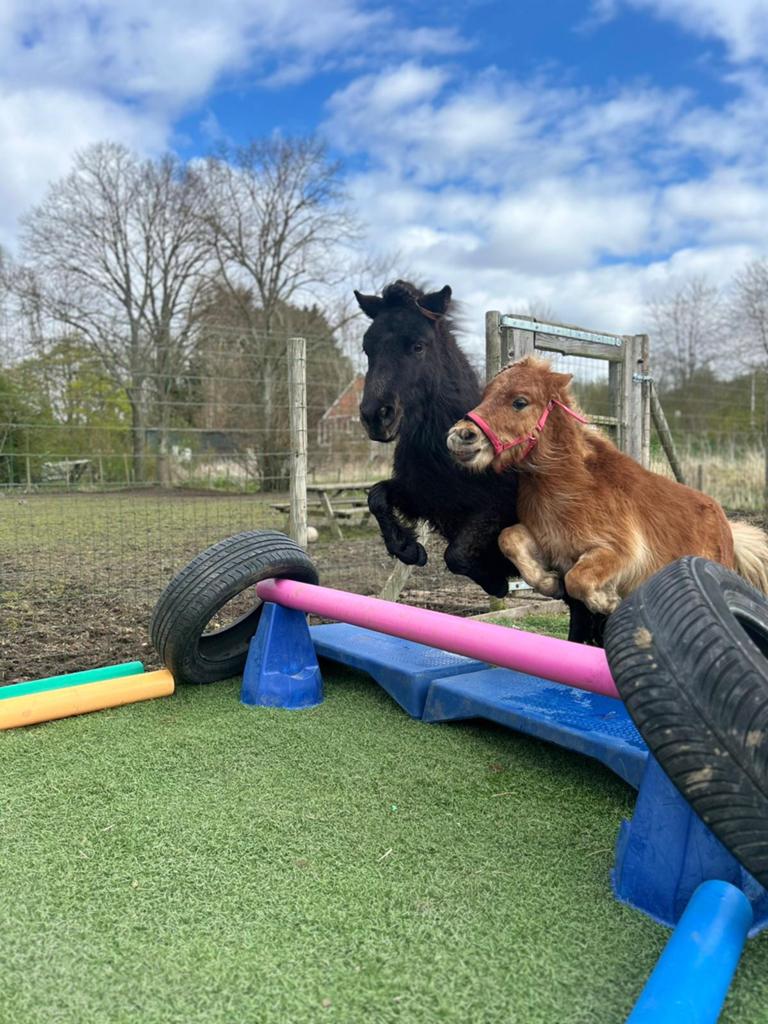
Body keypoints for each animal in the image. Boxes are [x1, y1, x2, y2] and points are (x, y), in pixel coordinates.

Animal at [354, 280, 603, 644]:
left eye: (418, 346)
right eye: (367, 348)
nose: (376, 417)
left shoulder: (493, 511)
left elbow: (457, 554)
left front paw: (495, 580)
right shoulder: (424, 498)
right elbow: (378, 497)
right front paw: (407, 548)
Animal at [447, 354, 768, 614]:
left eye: (520, 402)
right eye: (485, 396)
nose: (461, 436)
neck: (570, 487)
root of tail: (728, 527)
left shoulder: (618, 553)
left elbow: (578, 578)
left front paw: (607, 601)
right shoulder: (548, 542)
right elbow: (509, 538)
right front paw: (549, 583)